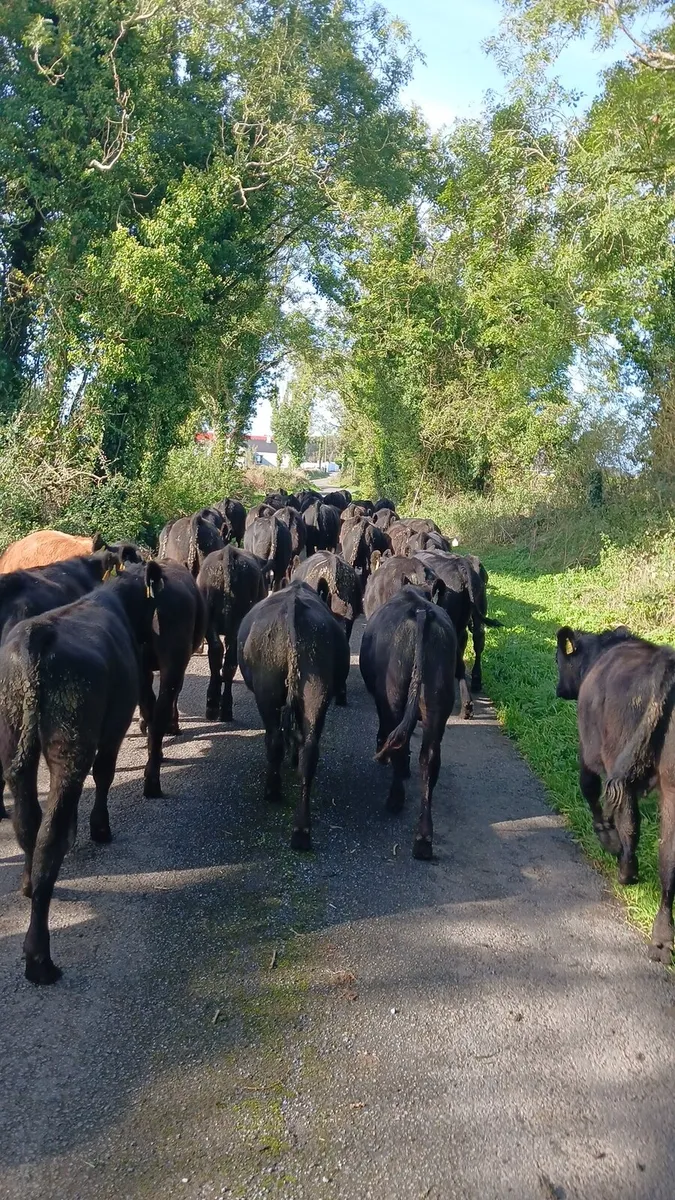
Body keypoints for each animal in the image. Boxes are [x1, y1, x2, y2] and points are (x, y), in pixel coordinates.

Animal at [0, 560, 164, 983]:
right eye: (152, 603)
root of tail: (36, 637)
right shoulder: (114, 725)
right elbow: (105, 774)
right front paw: (100, 828)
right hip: (71, 746)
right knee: (49, 836)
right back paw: (40, 959)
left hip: (13, 743)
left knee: (28, 821)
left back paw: (27, 885)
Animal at [198, 546, 267, 722]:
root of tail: (228, 552)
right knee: (226, 659)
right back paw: (222, 708)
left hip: (214, 623)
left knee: (219, 656)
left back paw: (215, 705)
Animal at [238, 581, 350, 851]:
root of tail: (293, 607)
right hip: (316, 689)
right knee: (309, 749)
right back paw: (301, 831)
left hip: (267, 693)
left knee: (274, 740)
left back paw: (273, 791)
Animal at [359, 584, 457, 860]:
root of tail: (421, 611)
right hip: (437, 704)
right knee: (430, 758)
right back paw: (423, 839)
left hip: (393, 694)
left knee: (398, 745)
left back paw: (395, 799)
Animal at [556, 625, 675, 964]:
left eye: (558, 661)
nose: (558, 689)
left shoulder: (589, 750)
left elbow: (589, 787)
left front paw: (606, 836)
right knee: (668, 855)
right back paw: (662, 937)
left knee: (632, 825)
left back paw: (625, 871)